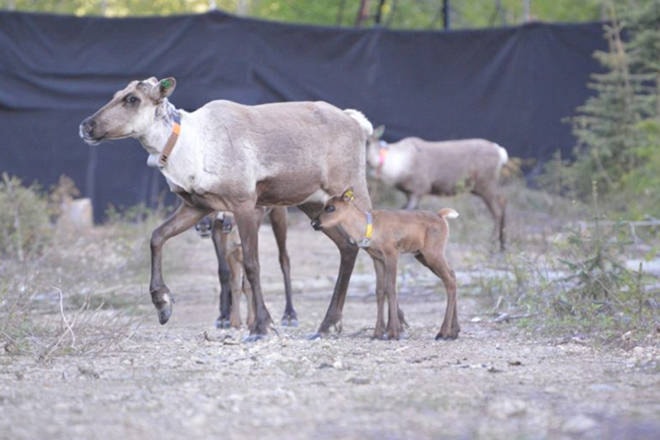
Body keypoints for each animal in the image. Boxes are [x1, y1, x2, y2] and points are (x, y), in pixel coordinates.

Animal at [314, 189, 458, 340]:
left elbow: (391, 288)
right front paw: (377, 333)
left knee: (449, 280)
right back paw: (453, 332)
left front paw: (393, 333)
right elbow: (380, 290)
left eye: (331, 207)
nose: (314, 223)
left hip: (433, 253)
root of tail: (442, 216)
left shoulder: (392, 254)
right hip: (422, 256)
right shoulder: (377, 259)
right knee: (452, 276)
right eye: (324, 205)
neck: (369, 228)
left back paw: (443, 332)